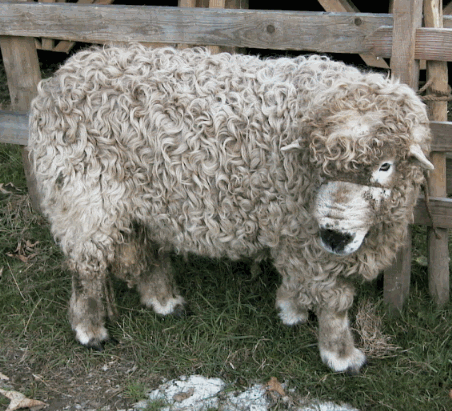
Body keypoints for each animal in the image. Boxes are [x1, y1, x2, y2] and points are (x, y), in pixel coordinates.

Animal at [28, 44, 433, 373]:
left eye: (385, 166)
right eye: (320, 167)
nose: (335, 235)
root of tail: (61, 77)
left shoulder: (294, 232)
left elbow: (294, 279)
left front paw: (290, 310)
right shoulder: (308, 240)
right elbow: (334, 303)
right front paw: (342, 356)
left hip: (140, 201)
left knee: (143, 251)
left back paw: (164, 301)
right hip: (83, 197)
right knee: (86, 266)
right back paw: (89, 329)